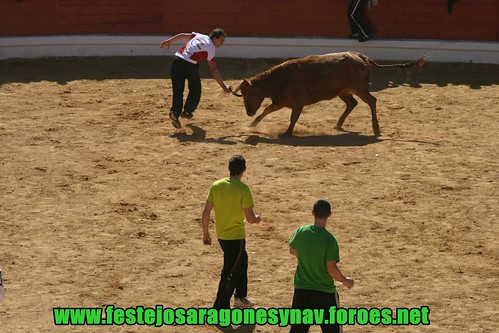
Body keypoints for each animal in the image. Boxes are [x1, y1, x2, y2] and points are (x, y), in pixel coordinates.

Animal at [232, 51, 424, 136]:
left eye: (247, 94)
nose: (248, 112)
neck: (279, 78)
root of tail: (363, 57)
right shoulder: (280, 101)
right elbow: (266, 111)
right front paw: (252, 125)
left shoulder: (298, 101)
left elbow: (293, 117)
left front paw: (287, 133)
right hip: (343, 91)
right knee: (352, 103)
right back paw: (338, 124)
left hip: (359, 88)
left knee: (372, 101)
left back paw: (375, 128)